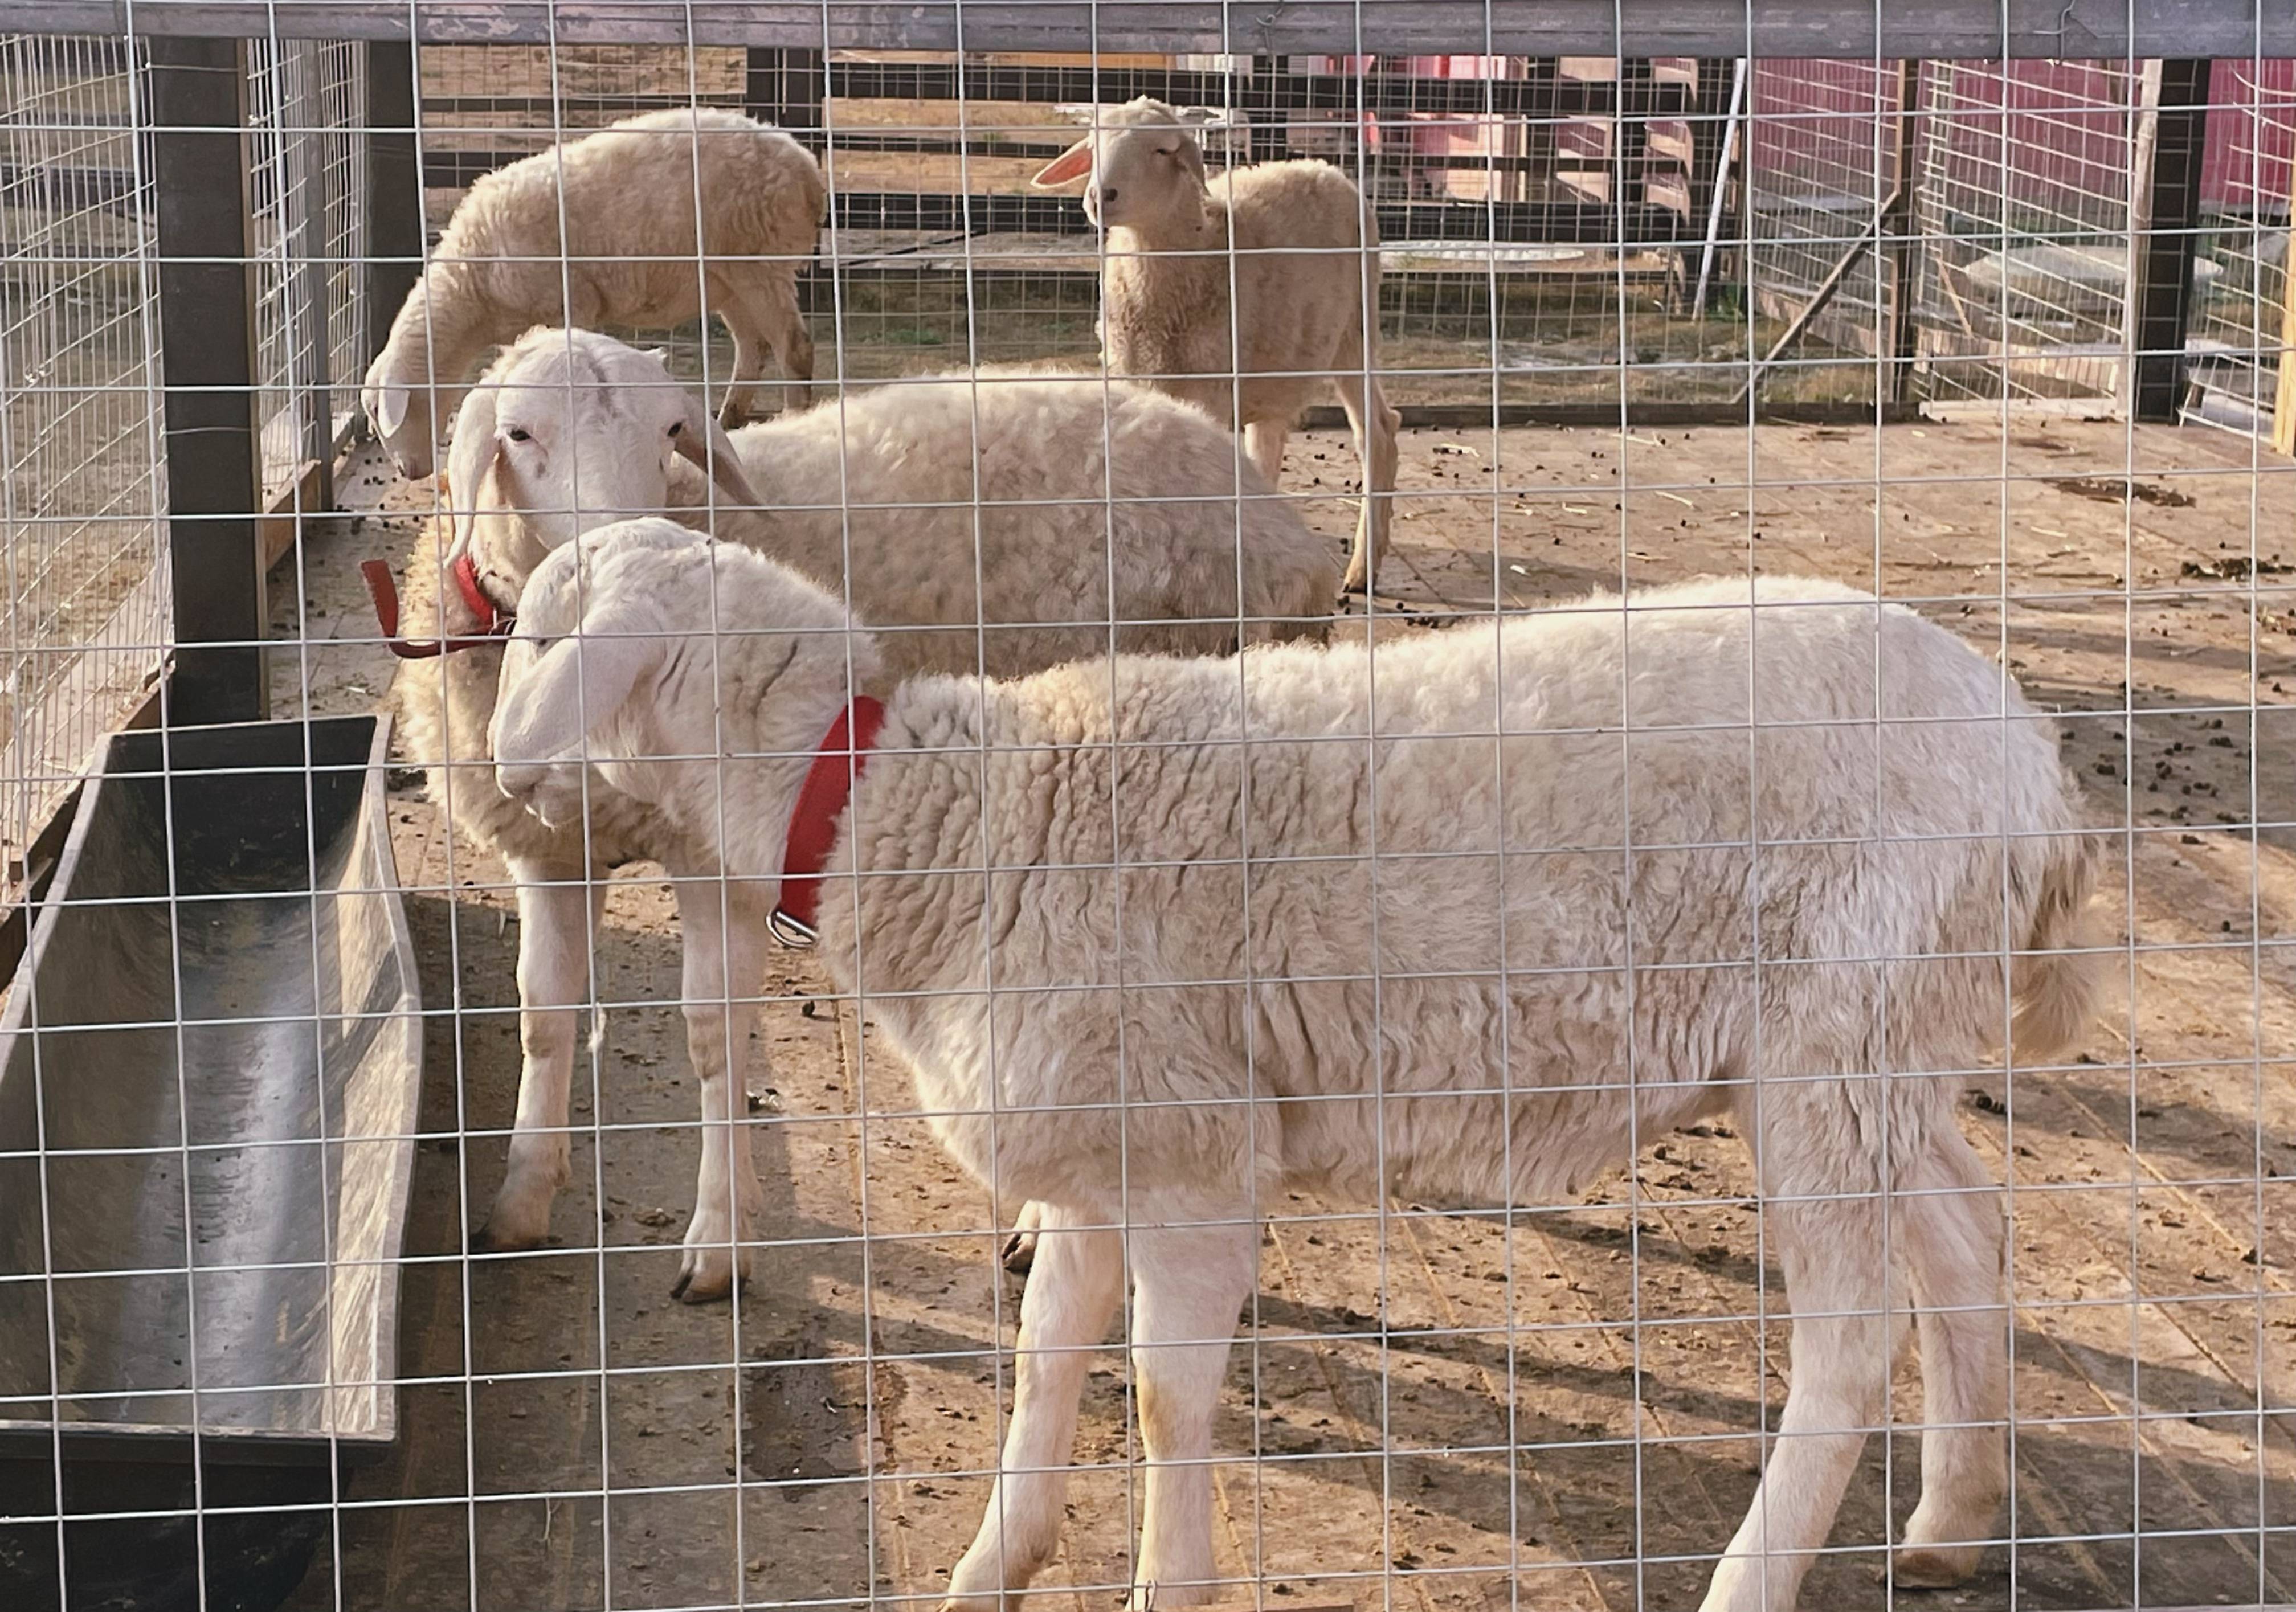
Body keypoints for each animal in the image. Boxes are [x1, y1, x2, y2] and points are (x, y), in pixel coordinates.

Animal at [358, 109, 826, 480]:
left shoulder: (571, 299)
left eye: (381, 417)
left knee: (794, 346)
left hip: (759, 257)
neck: (473, 287)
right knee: (753, 347)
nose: (408, 472)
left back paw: (794, 415)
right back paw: (729, 417)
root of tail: (807, 169)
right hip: (728, 277)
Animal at [386, 326, 1341, 1304]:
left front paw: (719, 1240)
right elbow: (542, 1013)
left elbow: (713, 1035)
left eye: (673, 430)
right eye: (518, 432)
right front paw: (520, 1200)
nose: (616, 541)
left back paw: (1049, 1227)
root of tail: (1278, 528)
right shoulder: (549, 850)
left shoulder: (714, 853)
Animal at [493, 521, 2103, 1612]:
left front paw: (1168, 1578)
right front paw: (993, 1561)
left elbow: (1161, 1398)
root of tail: (2033, 766)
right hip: (1883, 1044)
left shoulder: (1196, 1154)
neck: (930, 814)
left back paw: (1756, 1575)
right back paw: (1950, 1519)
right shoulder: (1101, 1144)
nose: (496, 770)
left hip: (1832, 1042)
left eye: (531, 632)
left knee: (1848, 1338)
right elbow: (1046, 1356)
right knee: (1966, 1233)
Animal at [1037, 97, 1396, 597]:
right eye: (1092, 145)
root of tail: (1325, 169)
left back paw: (1363, 568)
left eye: (1163, 150)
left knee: (1377, 432)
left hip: (1354, 332)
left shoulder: (1211, 390)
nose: (1100, 197)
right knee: (1269, 439)